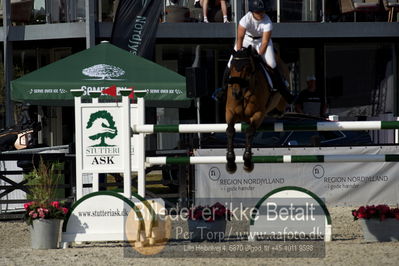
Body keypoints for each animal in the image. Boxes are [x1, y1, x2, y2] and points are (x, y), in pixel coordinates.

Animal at [225, 46, 288, 174]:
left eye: (247, 68)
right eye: (232, 67)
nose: (236, 93)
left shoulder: (258, 114)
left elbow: (249, 132)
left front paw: (247, 162)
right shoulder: (230, 112)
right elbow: (230, 131)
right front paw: (230, 162)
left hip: (280, 102)